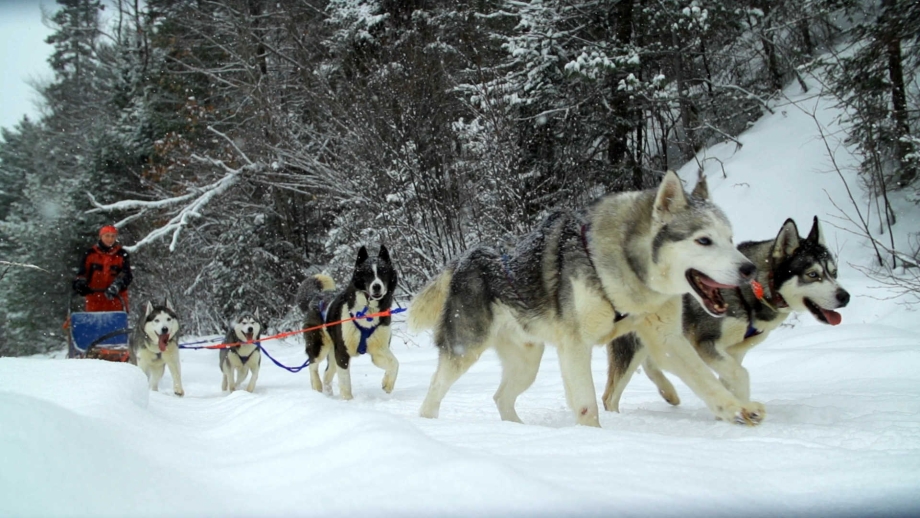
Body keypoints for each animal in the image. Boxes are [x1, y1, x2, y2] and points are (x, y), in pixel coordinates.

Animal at [300, 246, 398, 400]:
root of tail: (316, 296)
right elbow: (345, 381)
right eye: (367, 273)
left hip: (332, 351)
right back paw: (317, 387)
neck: (367, 311)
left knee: (327, 373)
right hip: (319, 345)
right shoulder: (342, 352)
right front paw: (348, 401)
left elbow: (395, 363)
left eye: (383, 272)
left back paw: (328, 393)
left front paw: (387, 384)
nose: (377, 286)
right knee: (312, 365)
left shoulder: (379, 350)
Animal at [410, 173, 760, 428]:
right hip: (464, 350)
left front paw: (738, 409)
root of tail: (465, 258)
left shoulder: (666, 339)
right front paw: (593, 439)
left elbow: (708, 382)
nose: (749, 269)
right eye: (704, 240)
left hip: (527, 363)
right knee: (433, 394)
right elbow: (587, 405)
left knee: (501, 398)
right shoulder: (575, 345)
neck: (624, 269)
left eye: (730, 238)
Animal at [600, 215, 852, 414]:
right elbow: (741, 376)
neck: (750, 290)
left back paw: (669, 392)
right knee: (610, 396)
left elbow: (732, 377)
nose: (845, 296)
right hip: (633, 344)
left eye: (834, 272)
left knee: (652, 363)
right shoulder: (706, 344)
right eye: (812, 274)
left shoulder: (733, 353)